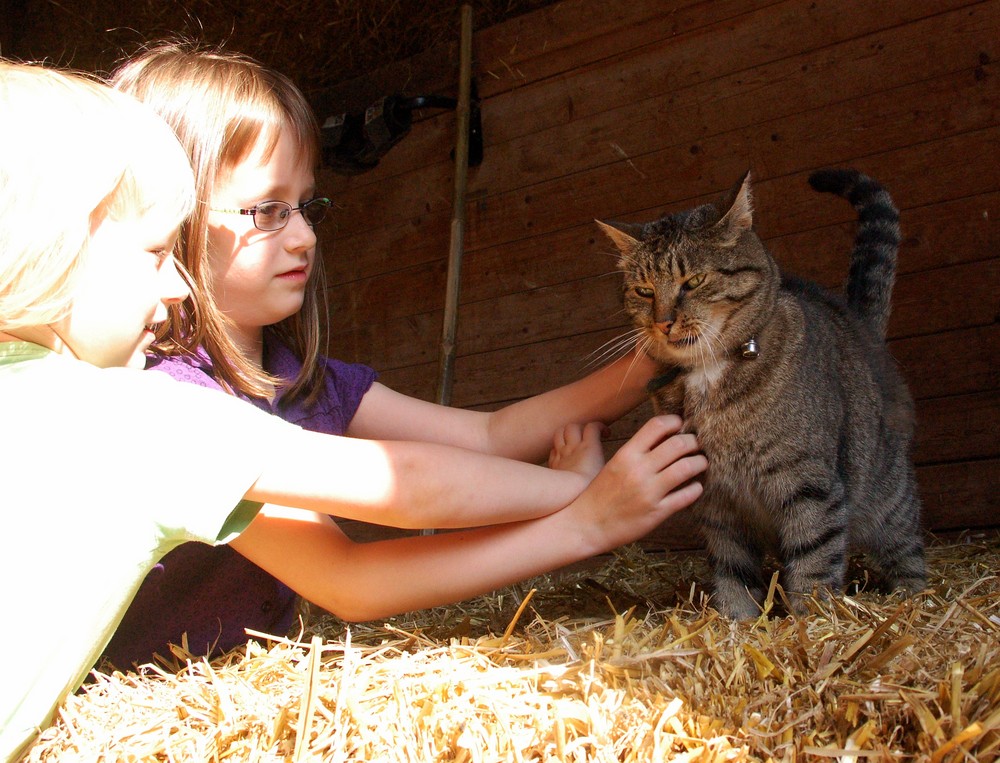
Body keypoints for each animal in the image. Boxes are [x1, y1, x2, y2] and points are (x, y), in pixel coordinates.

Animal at [596, 170, 924, 616]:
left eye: (693, 281)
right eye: (644, 290)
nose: (663, 323)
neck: (709, 373)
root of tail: (859, 322)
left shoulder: (808, 483)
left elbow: (815, 557)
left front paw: (811, 619)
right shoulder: (718, 500)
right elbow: (733, 568)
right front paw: (737, 620)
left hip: (887, 494)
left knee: (907, 542)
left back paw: (914, 596)